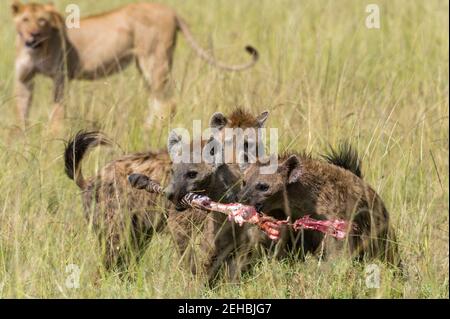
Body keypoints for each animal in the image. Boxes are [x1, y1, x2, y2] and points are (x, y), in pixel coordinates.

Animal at [10, 1, 258, 129]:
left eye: (42, 20)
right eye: (25, 20)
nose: (32, 34)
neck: (36, 48)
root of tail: (171, 10)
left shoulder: (61, 76)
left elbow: (57, 111)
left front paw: (52, 137)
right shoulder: (23, 80)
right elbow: (21, 111)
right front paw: (22, 138)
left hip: (154, 59)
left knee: (167, 102)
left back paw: (148, 130)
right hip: (144, 64)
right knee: (157, 100)